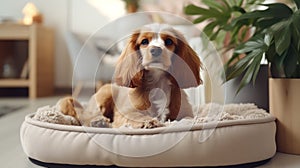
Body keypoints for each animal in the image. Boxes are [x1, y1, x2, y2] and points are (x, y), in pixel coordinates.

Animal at [57, 23, 203, 128]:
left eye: (168, 42)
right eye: (144, 41)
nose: (155, 50)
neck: (158, 82)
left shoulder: (186, 113)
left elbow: (187, 119)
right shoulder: (126, 112)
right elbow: (135, 116)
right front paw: (148, 121)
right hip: (105, 93)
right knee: (86, 116)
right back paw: (99, 121)